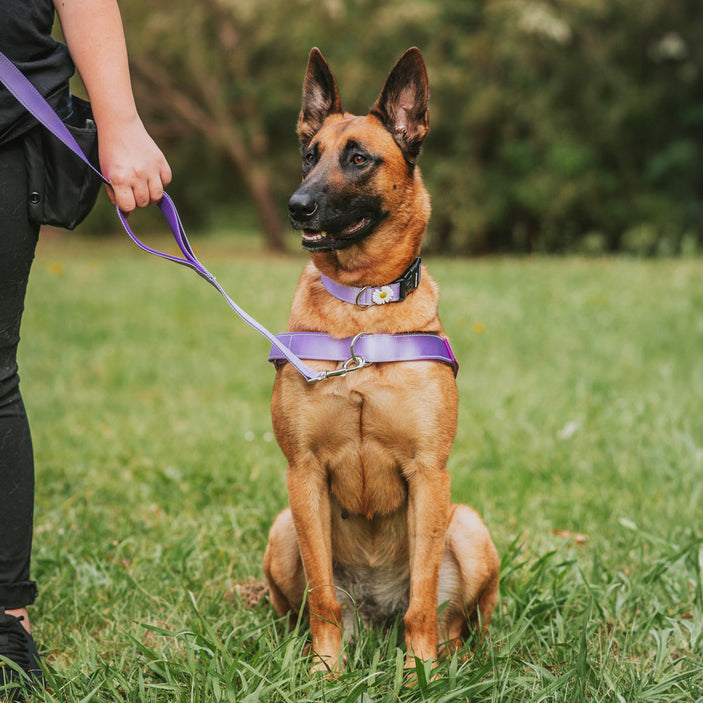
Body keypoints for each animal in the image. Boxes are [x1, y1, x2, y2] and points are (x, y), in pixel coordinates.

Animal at [264, 46, 500, 672]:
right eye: (309, 156)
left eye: (359, 158)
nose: (297, 207)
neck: (362, 310)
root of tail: (374, 613)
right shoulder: (304, 473)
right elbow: (323, 600)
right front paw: (325, 672)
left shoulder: (428, 472)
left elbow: (422, 599)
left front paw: (421, 675)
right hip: (283, 531)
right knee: (310, 608)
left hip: (468, 526)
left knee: (456, 618)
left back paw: (454, 657)